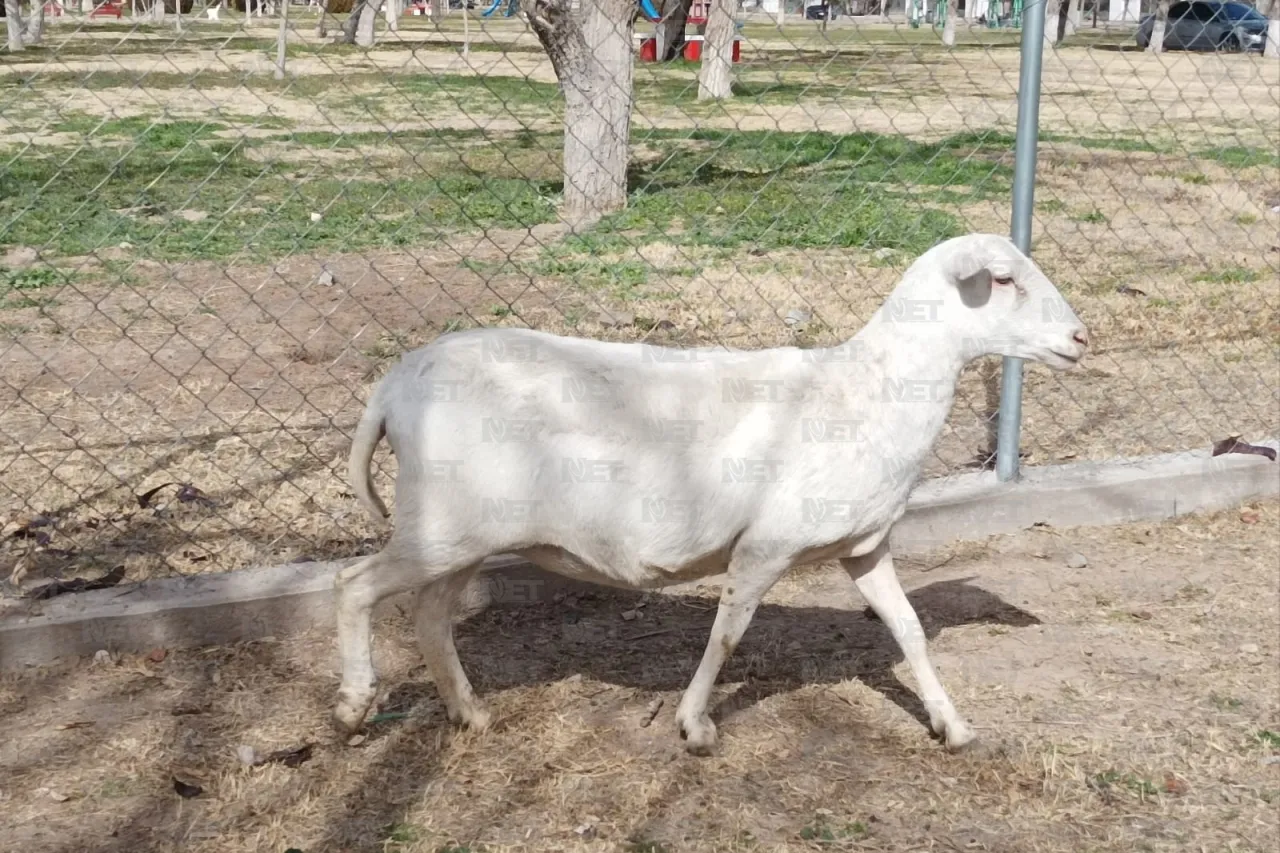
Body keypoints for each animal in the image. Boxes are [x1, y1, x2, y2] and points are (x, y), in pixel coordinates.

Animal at [332, 230, 1090, 753]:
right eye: (1002, 279)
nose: (1082, 338)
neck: (868, 389)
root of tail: (393, 385)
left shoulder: (864, 547)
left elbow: (909, 631)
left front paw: (952, 724)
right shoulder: (765, 545)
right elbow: (728, 633)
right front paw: (695, 725)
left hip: (462, 533)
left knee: (429, 616)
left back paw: (470, 712)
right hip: (443, 524)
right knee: (354, 584)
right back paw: (352, 703)